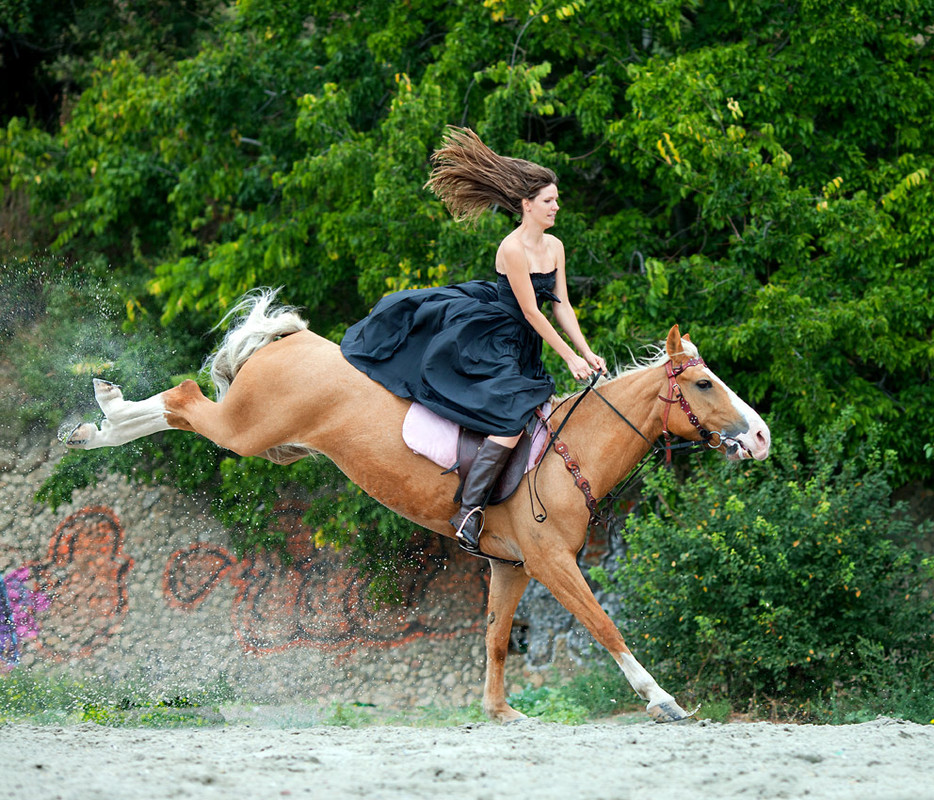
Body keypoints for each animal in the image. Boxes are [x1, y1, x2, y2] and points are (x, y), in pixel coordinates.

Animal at [64, 290, 768, 724]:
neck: (571, 454)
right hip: (246, 431)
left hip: (276, 446)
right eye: (704, 383)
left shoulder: (511, 565)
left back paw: (94, 424)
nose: (760, 436)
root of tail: (290, 342)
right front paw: (664, 701)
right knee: (184, 399)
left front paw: (500, 712)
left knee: (183, 405)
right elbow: (604, 626)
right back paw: (101, 416)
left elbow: (495, 639)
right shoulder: (550, 562)